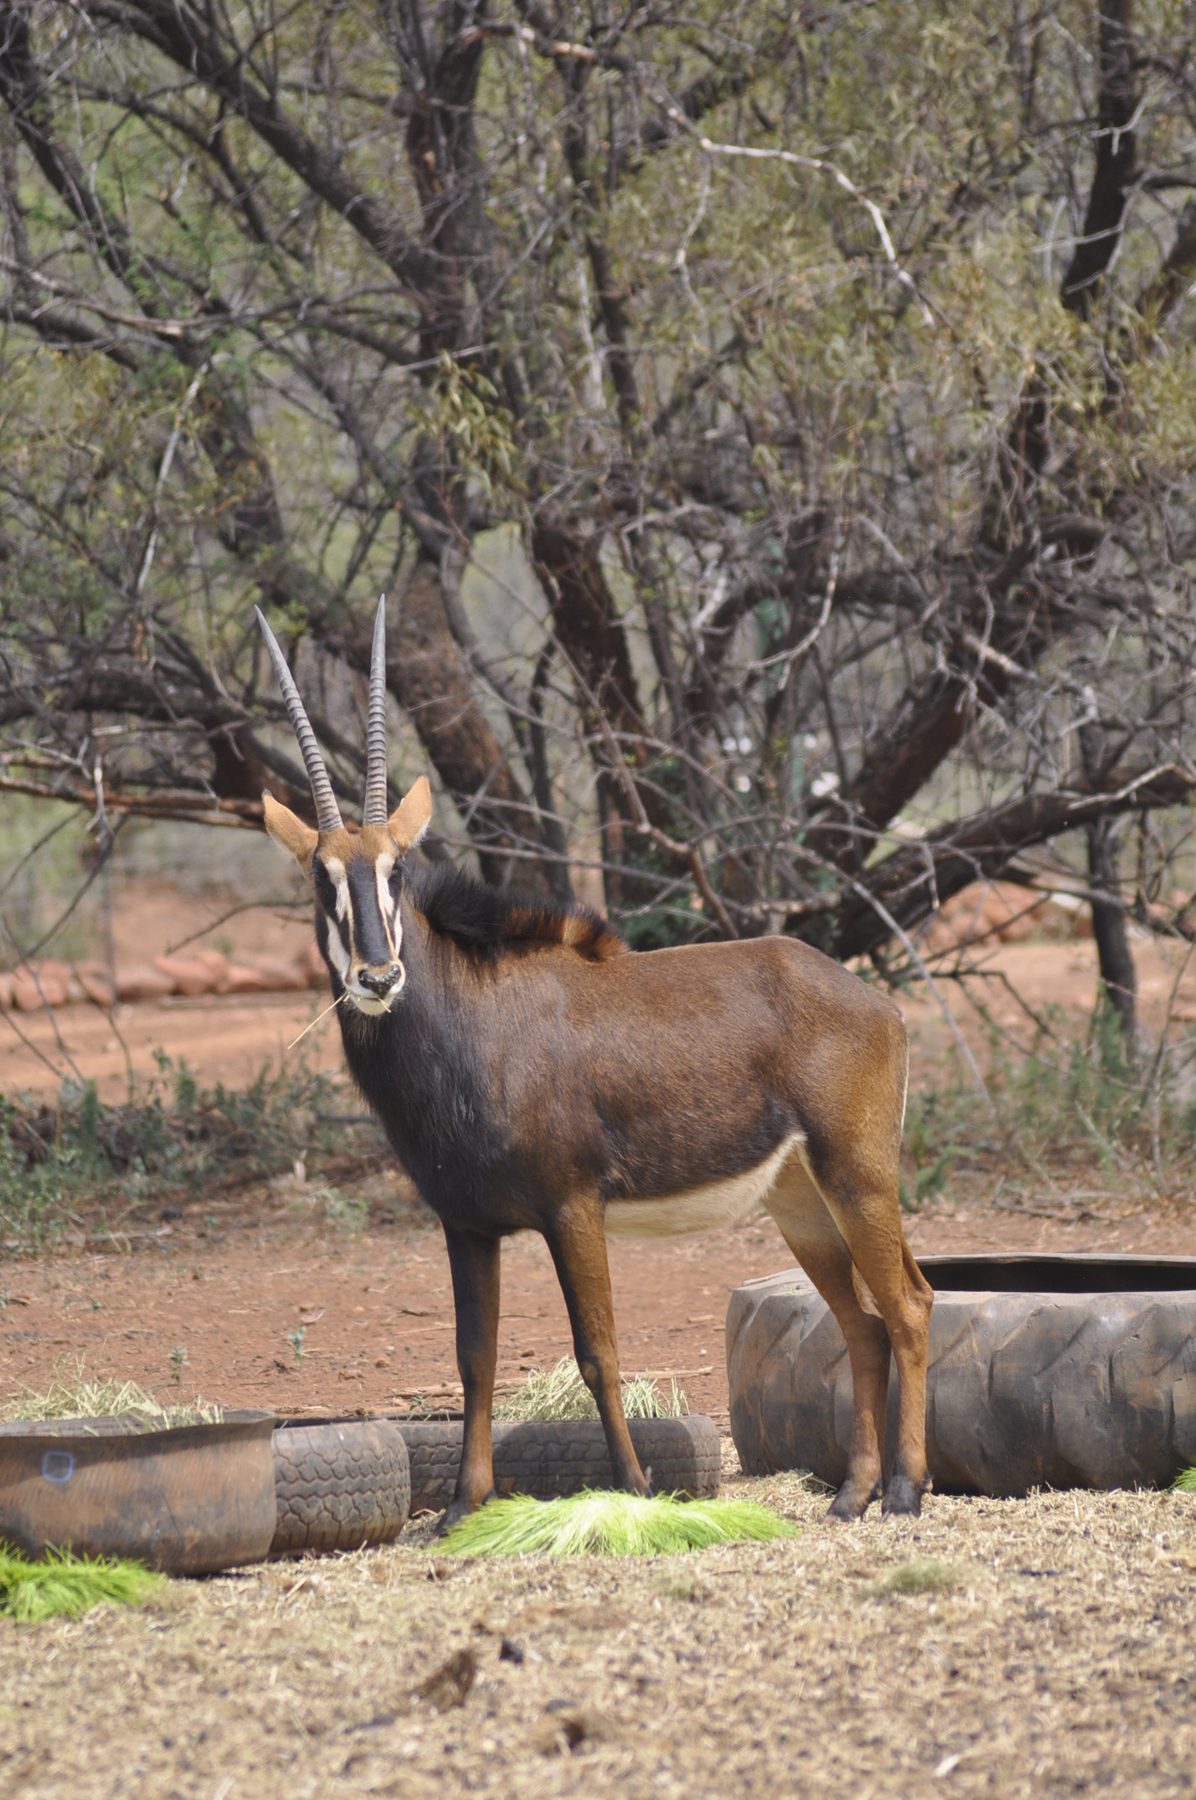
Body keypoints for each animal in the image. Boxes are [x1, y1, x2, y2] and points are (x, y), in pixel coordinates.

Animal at [256, 599, 933, 1524]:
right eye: (321, 878)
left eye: (396, 870)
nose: (377, 977)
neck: (473, 1021)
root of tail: (876, 1004)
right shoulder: (467, 1225)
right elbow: (474, 1359)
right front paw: (465, 1507)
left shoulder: (572, 1208)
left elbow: (598, 1350)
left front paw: (637, 1489)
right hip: (801, 1203)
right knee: (862, 1322)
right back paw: (853, 1494)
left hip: (858, 1176)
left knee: (909, 1307)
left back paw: (903, 1490)